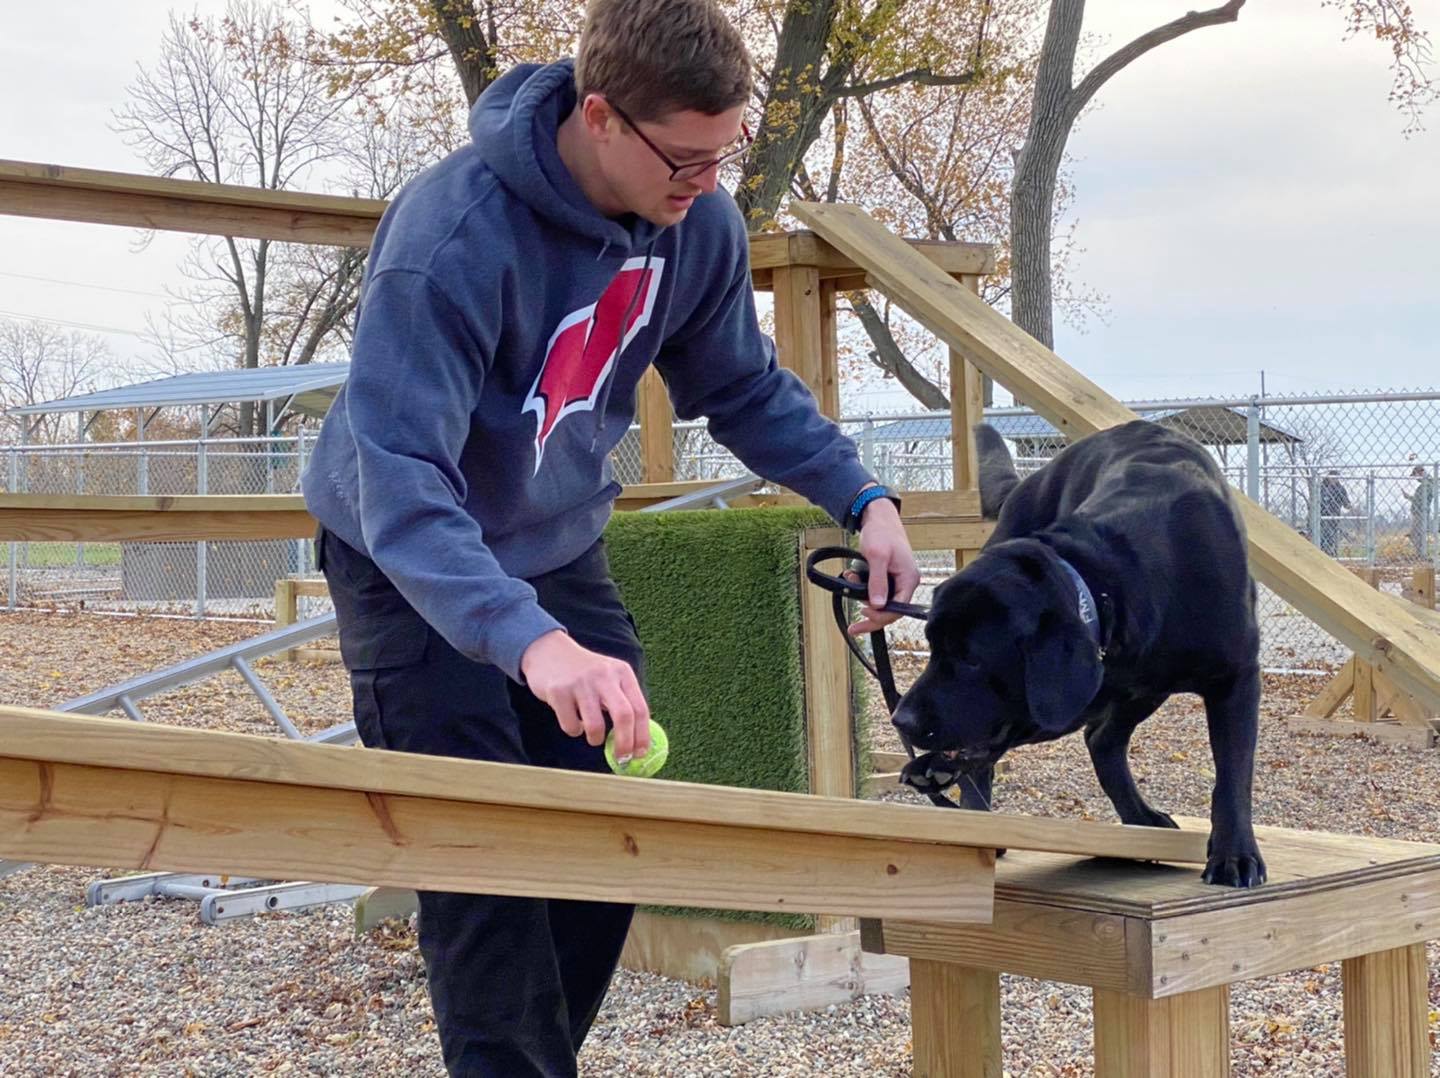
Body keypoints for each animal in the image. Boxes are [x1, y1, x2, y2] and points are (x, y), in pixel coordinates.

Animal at [892, 417, 1267, 880]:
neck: (1110, 583)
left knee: (1100, 739)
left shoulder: (1237, 675)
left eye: (971, 659)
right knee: (1076, 742)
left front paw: (1235, 856)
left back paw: (1140, 817)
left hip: (1144, 688)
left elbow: (1233, 774)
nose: (901, 719)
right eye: (932, 646)